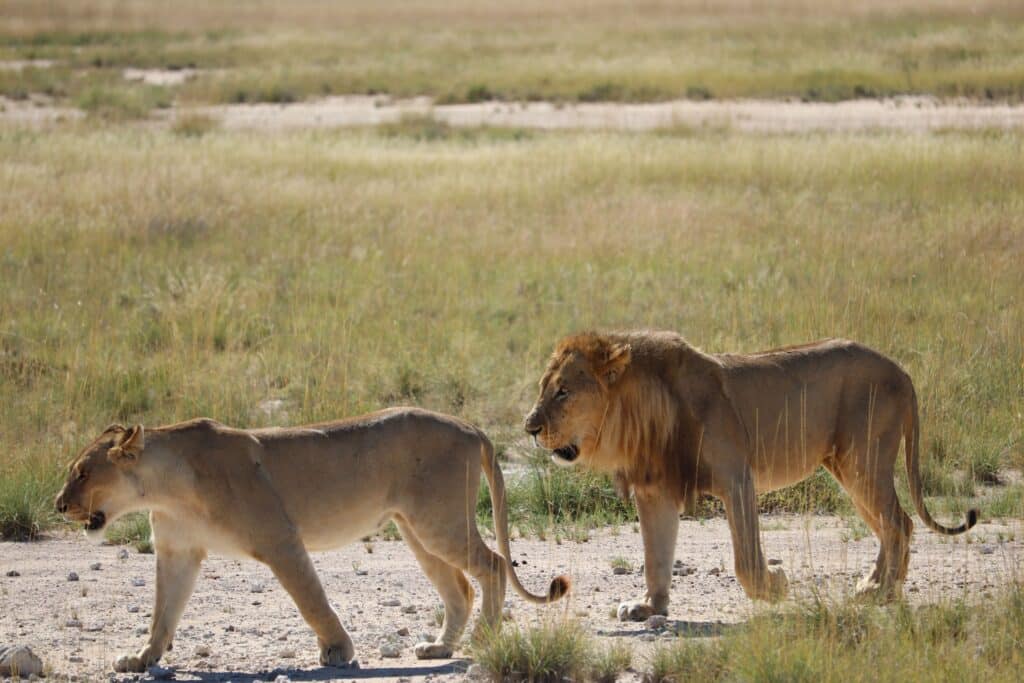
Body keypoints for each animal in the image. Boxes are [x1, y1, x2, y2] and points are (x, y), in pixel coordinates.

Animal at [55, 408, 569, 672]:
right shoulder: (178, 551)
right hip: (417, 529)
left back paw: (484, 638)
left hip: (437, 523)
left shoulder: (280, 538)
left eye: (82, 474)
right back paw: (440, 649)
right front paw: (142, 658)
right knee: (459, 588)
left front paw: (338, 651)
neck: (165, 487)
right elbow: (162, 613)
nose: (59, 505)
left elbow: (311, 599)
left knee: (493, 565)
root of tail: (470, 426)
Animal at [524, 331, 976, 620]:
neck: (638, 413)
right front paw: (649, 606)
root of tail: (902, 371)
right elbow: (656, 556)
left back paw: (880, 591)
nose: (530, 427)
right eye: (543, 388)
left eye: (563, 391)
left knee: (898, 522)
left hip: (864, 462)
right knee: (893, 525)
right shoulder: (656, 490)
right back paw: (878, 586)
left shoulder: (737, 478)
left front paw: (775, 586)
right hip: (849, 469)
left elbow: (744, 559)